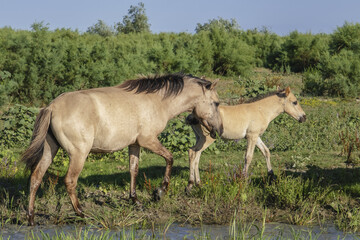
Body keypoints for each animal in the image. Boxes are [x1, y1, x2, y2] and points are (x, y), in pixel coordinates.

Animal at [21, 73, 222, 225]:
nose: (218, 131)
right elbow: (170, 158)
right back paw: (81, 214)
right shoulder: (148, 140)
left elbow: (133, 170)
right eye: (216, 103)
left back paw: (31, 218)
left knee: (36, 178)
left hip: (50, 150)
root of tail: (52, 107)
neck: (156, 101)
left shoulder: (135, 144)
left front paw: (136, 201)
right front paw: (159, 192)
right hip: (79, 154)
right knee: (70, 181)